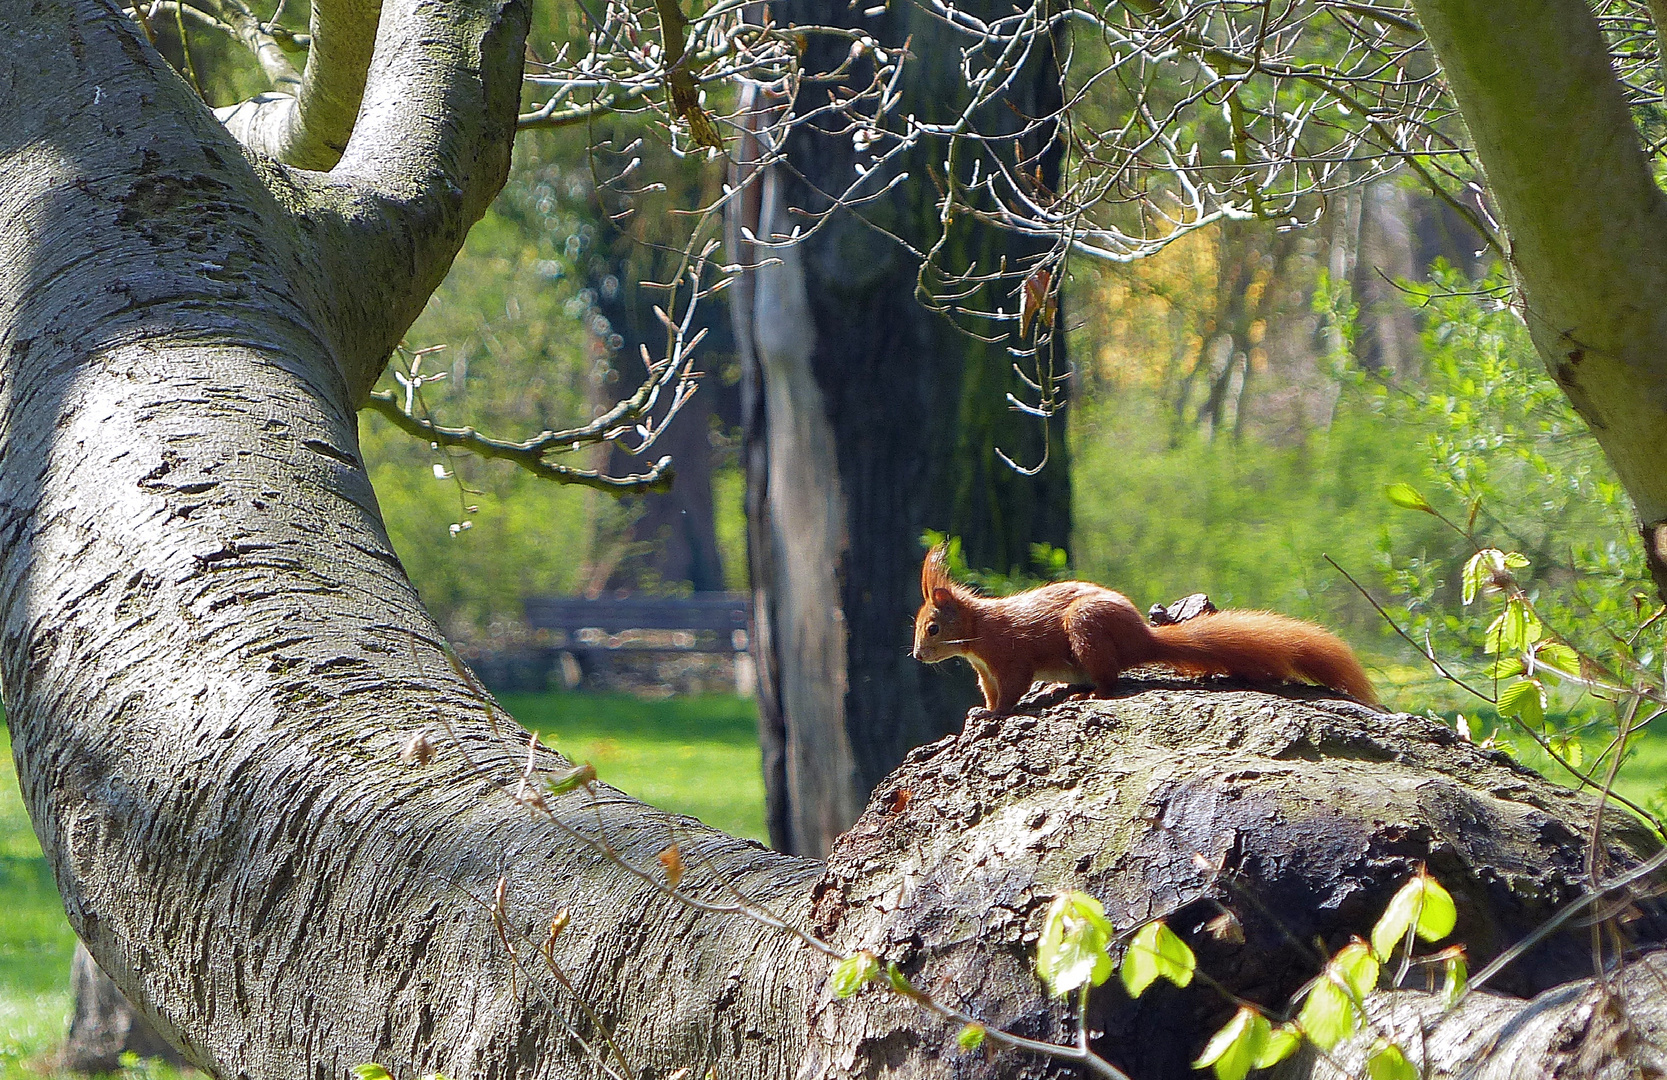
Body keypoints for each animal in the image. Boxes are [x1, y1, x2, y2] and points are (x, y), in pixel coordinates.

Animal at [920, 543, 1373, 713]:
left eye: (932, 629)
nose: (918, 655)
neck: (979, 631)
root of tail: (1141, 639)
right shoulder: (985, 671)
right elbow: (991, 691)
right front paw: (982, 711)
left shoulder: (1011, 657)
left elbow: (1013, 688)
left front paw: (997, 715)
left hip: (1085, 629)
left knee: (1109, 681)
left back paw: (1087, 694)